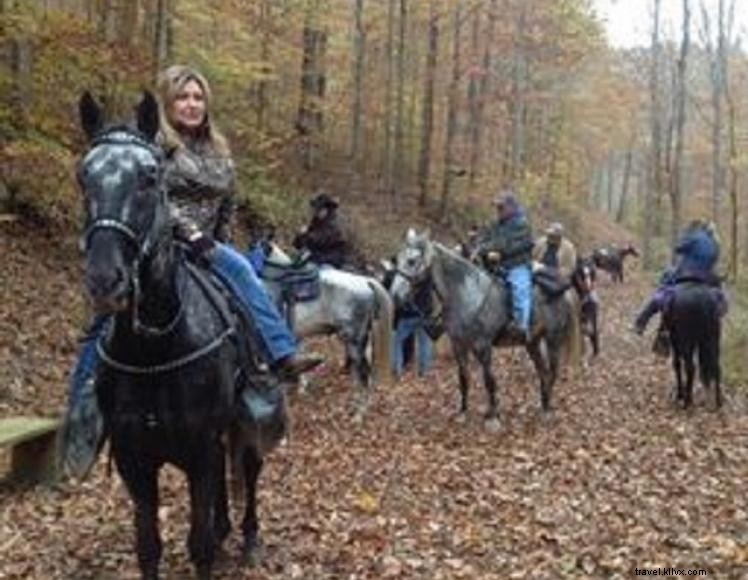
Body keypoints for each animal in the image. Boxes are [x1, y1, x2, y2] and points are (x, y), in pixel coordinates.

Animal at [388, 229, 580, 428]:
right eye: (397, 258)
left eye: (412, 261)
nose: (395, 295)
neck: (468, 294)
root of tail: (564, 292)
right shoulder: (459, 345)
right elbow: (463, 378)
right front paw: (463, 412)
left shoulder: (483, 346)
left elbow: (489, 380)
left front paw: (493, 416)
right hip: (532, 343)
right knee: (543, 372)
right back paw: (542, 406)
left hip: (553, 340)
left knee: (553, 372)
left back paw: (548, 410)